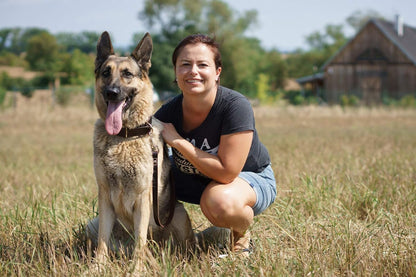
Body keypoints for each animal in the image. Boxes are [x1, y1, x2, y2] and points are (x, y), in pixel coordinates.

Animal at [92, 31, 195, 262]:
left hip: (179, 215)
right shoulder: (105, 198)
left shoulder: (142, 200)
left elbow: (140, 242)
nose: (112, 92)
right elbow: (102, 241)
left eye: (127, 74)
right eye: (106, 72)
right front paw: (97, 266)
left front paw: (137, 267)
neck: (123, 137)